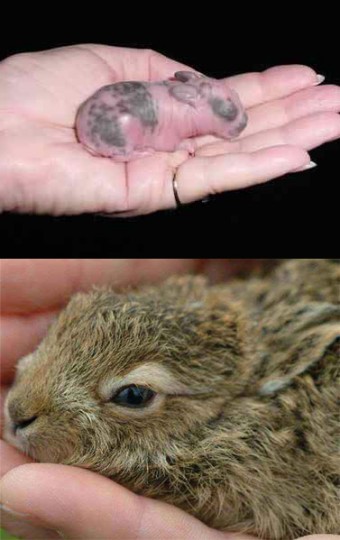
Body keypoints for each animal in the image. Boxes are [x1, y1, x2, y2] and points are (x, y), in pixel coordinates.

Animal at [76, 69, 247, 159]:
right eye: (228, 111)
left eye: (237, 94)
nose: (245, 123)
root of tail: (84, 134)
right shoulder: (168, 136)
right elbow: (173, 145)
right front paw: (189, 144)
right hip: (123, 132)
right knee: (121, 156)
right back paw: (143, 152)